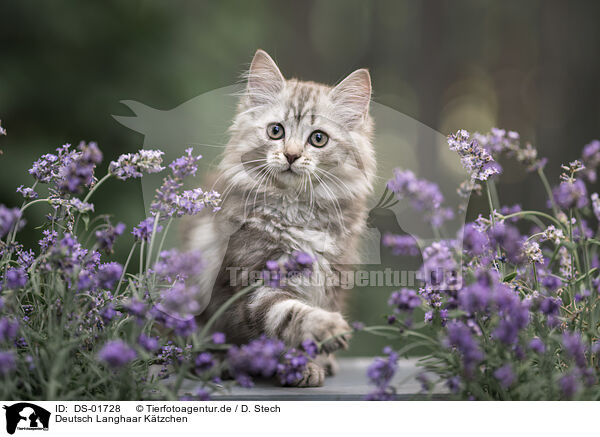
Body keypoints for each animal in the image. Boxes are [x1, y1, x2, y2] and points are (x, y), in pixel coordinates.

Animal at [188, 49, 376, 386]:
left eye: (318, 138)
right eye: (276, 131)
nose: (290, 155)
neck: (299, 210)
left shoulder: (333, 277)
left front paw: (319, 359)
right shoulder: (253, 280)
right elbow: (287, 315)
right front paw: (308, 353)